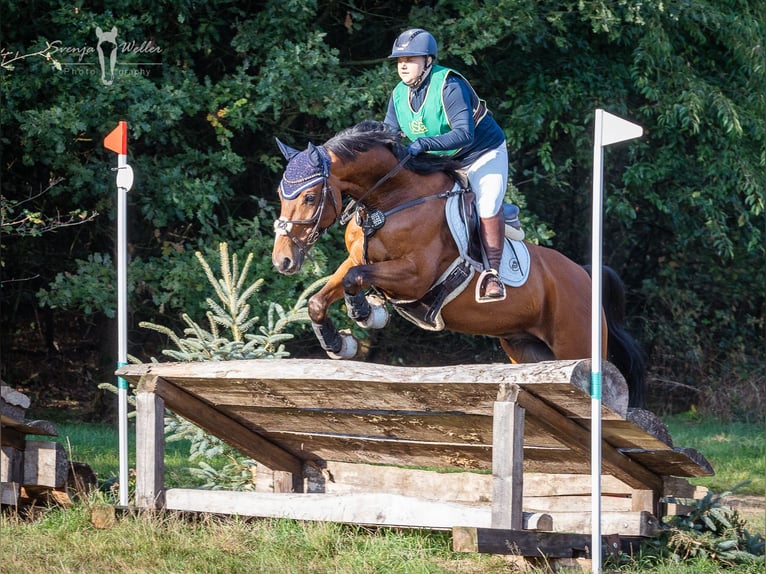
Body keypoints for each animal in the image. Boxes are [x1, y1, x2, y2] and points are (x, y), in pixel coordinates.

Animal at [271, 120, 646, 407]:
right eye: (280, 194)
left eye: (309, 197)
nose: (283, 260)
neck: (389, 201)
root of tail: (585, 275)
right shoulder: (356, 257)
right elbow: (322, 297)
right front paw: (339, 344)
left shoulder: (416, 276)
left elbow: (355, 278)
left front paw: (365, 313)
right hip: (527, 350)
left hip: (577, 345)